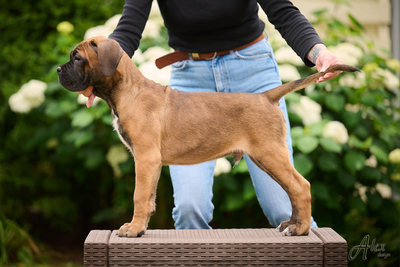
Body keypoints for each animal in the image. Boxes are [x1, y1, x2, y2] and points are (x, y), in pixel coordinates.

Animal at [57, 36, 360, 239]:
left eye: (77, 58)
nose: (59, 70)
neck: (128, 90)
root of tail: (265, 96)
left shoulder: (145, 158)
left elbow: (139, 196)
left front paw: (132, 228)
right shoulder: (150, 163)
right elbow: (149, 197)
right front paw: (140, 228)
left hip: (270, 153)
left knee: (301, 186)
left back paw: (300, 229)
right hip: (266, 158)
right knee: (292, 189)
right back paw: (291, 224)